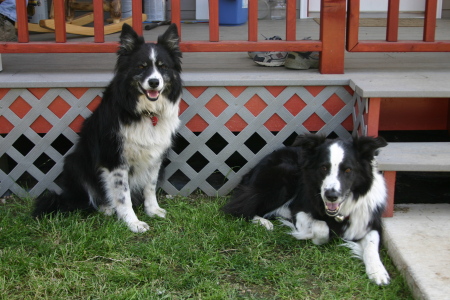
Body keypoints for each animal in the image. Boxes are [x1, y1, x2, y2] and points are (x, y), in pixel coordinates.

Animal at [33, 24, 183, 234]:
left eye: (163, 66)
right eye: (141, 66)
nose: (154, 82)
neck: (145, 112)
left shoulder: (155, 156)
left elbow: (150, 186)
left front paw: (153, 210)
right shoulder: (115, 160)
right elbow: (123, 196)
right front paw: (133, 222)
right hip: (74, 162)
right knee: (87, 199)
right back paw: (106, 207)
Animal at [224, 134, 390, 286]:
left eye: (348, 170)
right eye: (324, 167)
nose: (331, 196)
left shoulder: (370, 222)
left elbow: (371, 245)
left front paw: (378, 272)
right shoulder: (299, 210)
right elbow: (321, 228)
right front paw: (311, 236)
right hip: (284, 176)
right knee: (240, 207)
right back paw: (263, 222)